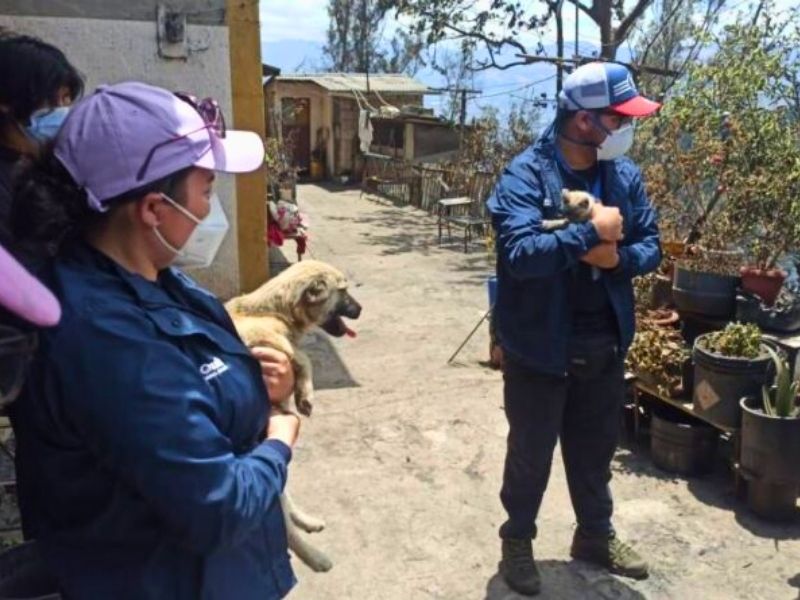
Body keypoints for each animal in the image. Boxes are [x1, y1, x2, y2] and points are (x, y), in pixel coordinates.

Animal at [225, 262, 362, 572]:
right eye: (343, 291)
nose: (360, 309)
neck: (271, 311)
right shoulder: (263, 341)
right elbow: (302, 356)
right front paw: (306, 394)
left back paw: (305, 521)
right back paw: (315, 557)